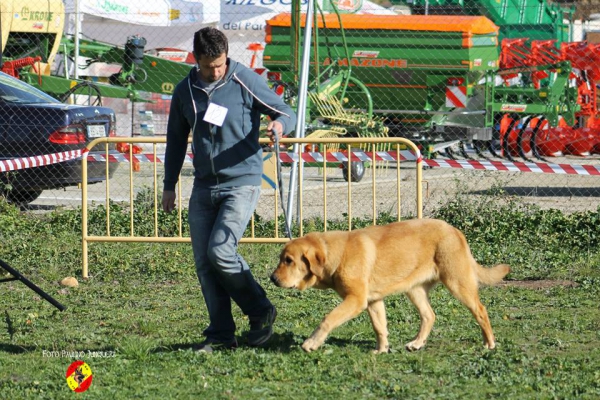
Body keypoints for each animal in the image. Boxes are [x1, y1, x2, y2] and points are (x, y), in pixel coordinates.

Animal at [270, 219, 508, 354]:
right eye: (281, 258)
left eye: (289, 260)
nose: (272, 279)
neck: (337, 255)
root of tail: (456, 231)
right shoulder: (373, 301)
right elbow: (380, 327)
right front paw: (382, 349)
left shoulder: (356, 300)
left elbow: (328, 319)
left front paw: (311, 343)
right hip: (414, 289)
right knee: (429, 315)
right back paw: (416, 343)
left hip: (457, 283)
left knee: (480, 310)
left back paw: (489, 343)